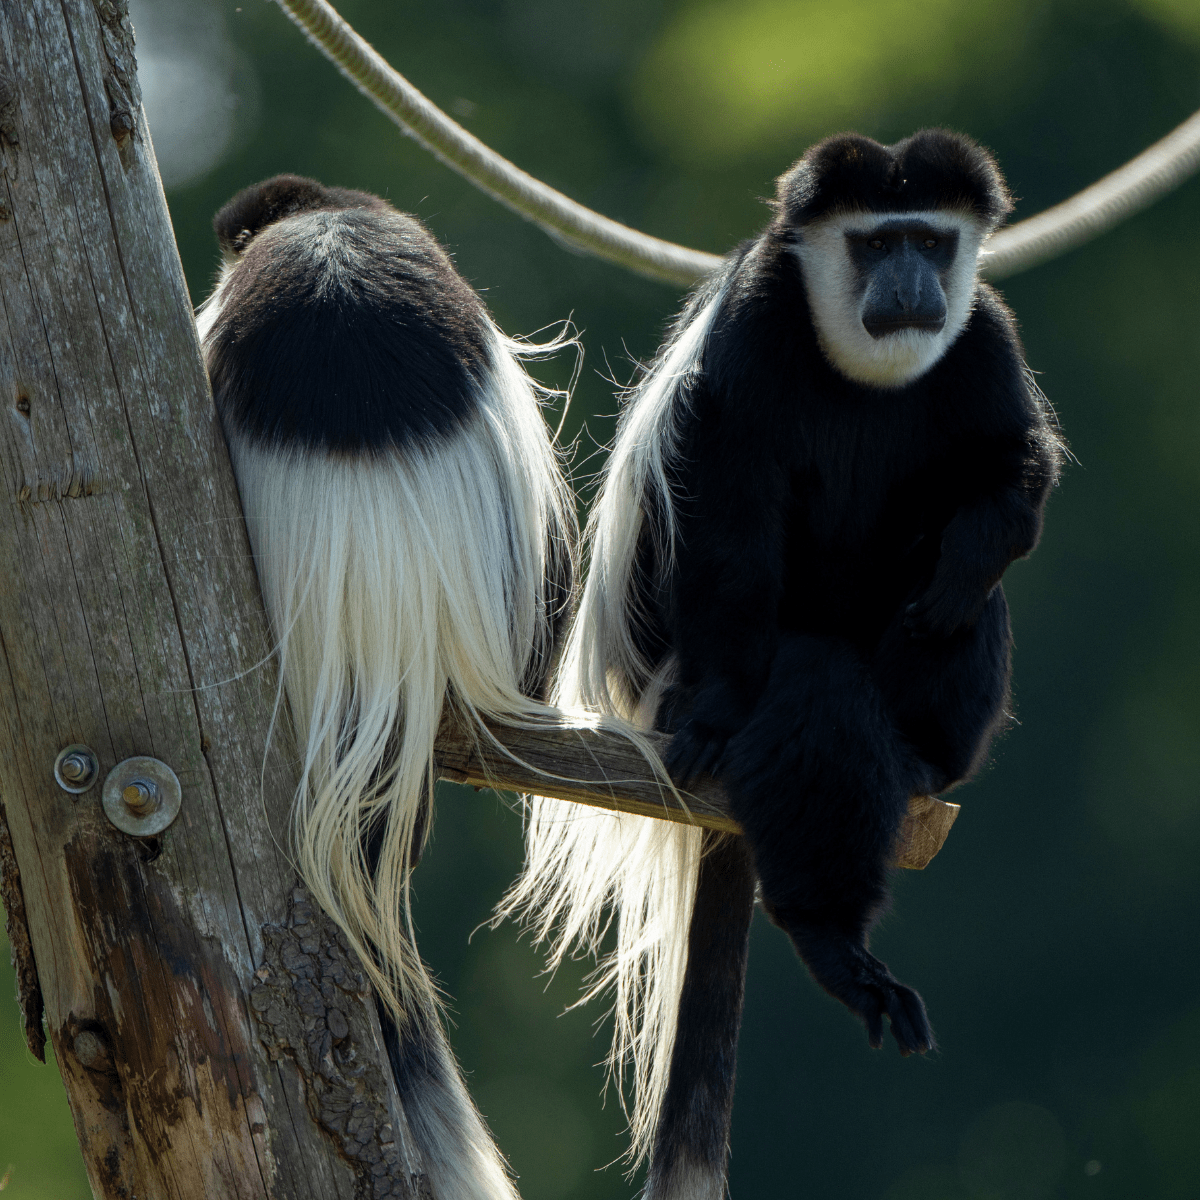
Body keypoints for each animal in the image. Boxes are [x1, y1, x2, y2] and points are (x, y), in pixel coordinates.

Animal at [501, 130, 1064, 1199]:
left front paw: (970, 548)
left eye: (931, 240)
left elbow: (1012, 475)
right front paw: (725, 708)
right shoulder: (760, 329)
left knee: (960, 604)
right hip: (674, 680)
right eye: (876, 242)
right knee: (812, 681)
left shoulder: (983, 339)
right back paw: (827, 931)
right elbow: (732, 516)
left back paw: (925, 756)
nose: (910, 283)